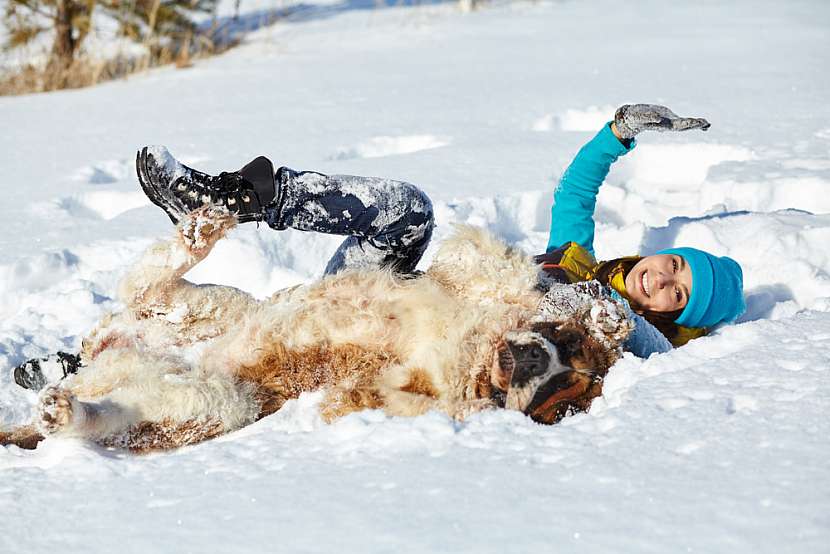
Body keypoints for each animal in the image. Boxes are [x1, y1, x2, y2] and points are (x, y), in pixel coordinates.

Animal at [1, 205, 632, 450]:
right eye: (564, 348)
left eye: (560, 396)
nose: (532, 360)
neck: (473, 354)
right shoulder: (472, 275)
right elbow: (503, 268)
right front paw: (606, 315)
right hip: (202, 308)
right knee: (151, 279)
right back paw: (202, 225)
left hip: (218, 401)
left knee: (103, 419)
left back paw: (65, 412)